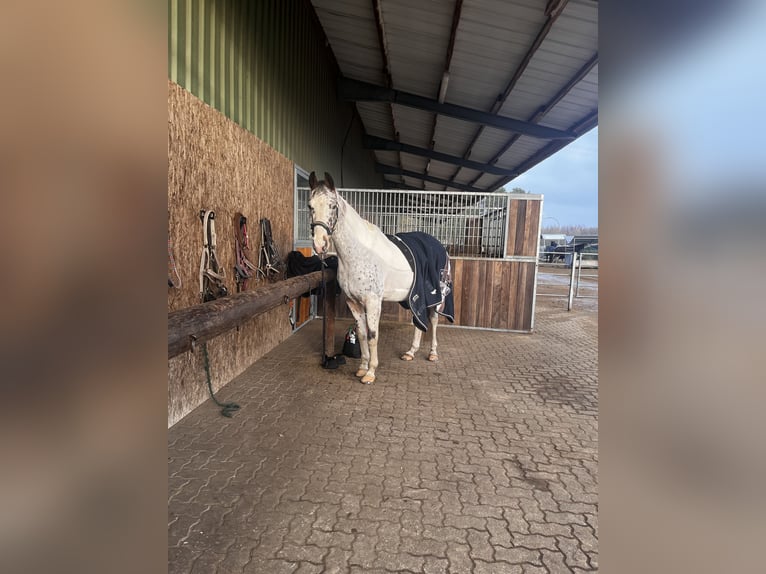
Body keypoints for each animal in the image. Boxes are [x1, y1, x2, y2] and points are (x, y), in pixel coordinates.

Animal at [308, 172, 456, 388]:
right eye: (310, 206)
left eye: (333, 205)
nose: (320, 244)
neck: (359, 253)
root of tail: (439, 245)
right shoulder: (353, 302)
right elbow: (362, 334)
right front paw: (362, 368)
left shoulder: (373, 302)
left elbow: (372, 335)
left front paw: (371, 373)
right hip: (415, 296)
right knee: (418, 321)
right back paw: (411, 352)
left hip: (435, 298)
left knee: (434, 321)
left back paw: (432, 354)